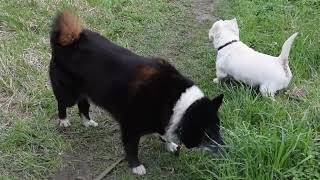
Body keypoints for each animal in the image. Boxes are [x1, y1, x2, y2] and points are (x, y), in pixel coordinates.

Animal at [49, 10, 225, 174]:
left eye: (218, 128)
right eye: (207, 133)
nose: (226, 150)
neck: (175, 103)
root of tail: (68, 41)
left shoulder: (163, 121)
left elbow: (164, 135)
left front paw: (169, 145)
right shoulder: (130, 127)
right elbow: (131, 148)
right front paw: (136, 166)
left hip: (87, 91)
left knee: (83, 105)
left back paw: (87, 122)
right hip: (68, 93)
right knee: (62, 103)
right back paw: (64, 121)